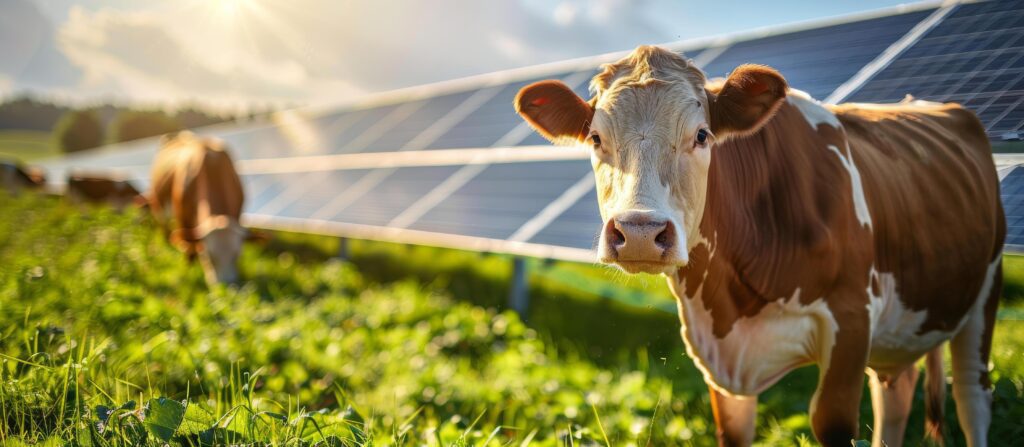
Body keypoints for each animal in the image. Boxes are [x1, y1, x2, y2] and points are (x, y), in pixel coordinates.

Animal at [148, 131, 256, 284]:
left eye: (237, 255)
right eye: (208, 256)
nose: (226, 285)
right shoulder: (183, 218)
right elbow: (189, 248)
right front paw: (187, 269)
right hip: (158, 205)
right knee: (163, 226)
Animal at [512, 46, 999, 445]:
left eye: (702, 135)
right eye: (596, 139)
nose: (639, 233)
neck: (734, 298)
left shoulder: (850, 321)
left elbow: (831, 421)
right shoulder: (720, 363)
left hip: (982, 295)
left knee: (972, 398)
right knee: (895, 396)